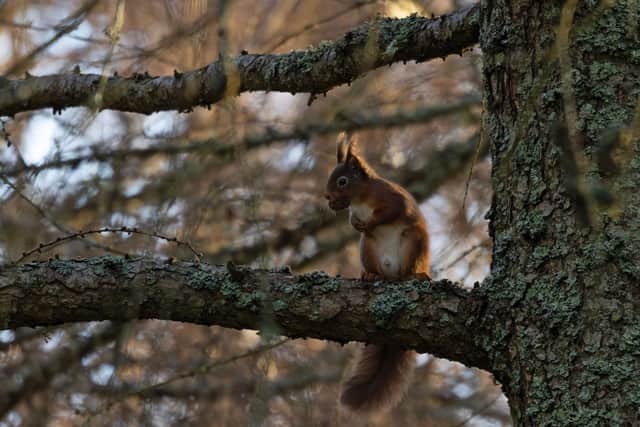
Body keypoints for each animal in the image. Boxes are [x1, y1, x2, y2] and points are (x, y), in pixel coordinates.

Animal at [325, 133, 430, 415]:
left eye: (342, 181)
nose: (327, 198)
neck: (361, 200)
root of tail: (392, 274)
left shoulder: (392, 199)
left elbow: (390, 212)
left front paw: (369, 221)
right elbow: (355, 222)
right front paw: (355, 223)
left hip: (413, 241)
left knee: (407, 269)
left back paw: (412, 276)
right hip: (368, 249)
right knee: (377, 268)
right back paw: (372, 276)